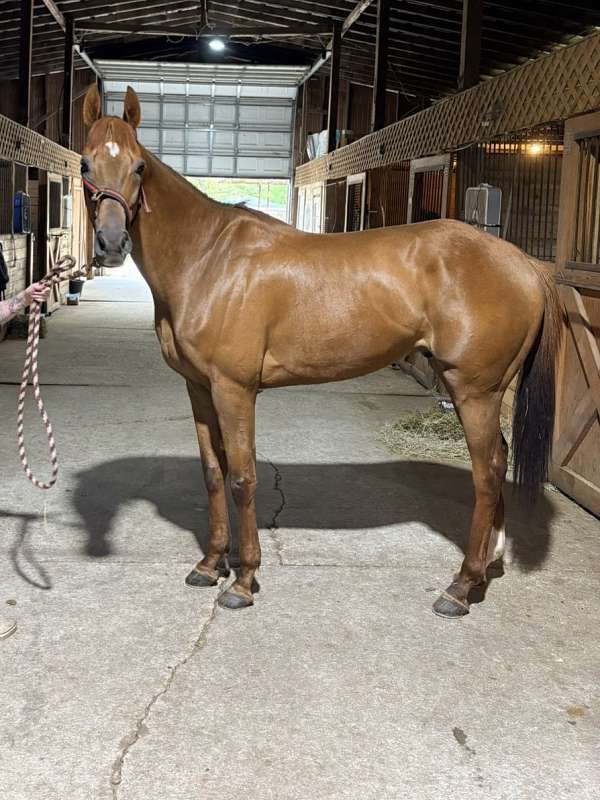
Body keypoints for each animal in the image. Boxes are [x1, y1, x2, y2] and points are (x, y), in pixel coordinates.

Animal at [81, 84, 563, 618]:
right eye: (85, 165)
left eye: (138, 167)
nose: (110, 243)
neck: (208, 259)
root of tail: (522, 262)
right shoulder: (199, 388)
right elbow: (212, 473)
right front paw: (209, 565)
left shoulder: (234, 389)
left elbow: (242, 477)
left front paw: (243, 581)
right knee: (499, 460)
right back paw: (488, 566)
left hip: (475, 390)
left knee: (488, 470)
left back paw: (461, 586)